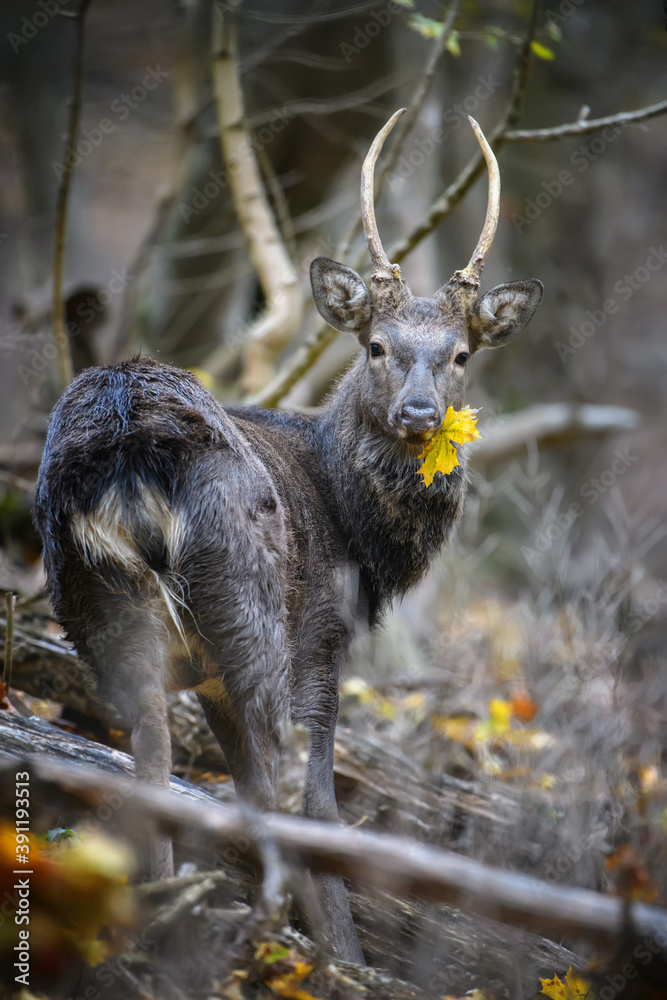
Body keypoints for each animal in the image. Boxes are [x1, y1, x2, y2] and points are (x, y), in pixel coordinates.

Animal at [34, 111, 544, 968]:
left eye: (460, 355)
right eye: (375, 346)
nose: (418, 413)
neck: (357, 528)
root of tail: (129, 440)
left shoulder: (207, 674)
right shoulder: (323, 636)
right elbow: (315, 796)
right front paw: (345, 953)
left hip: (94, 594)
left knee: (150, 752)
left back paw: (161, 917)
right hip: (249, 599)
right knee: (278, 778)